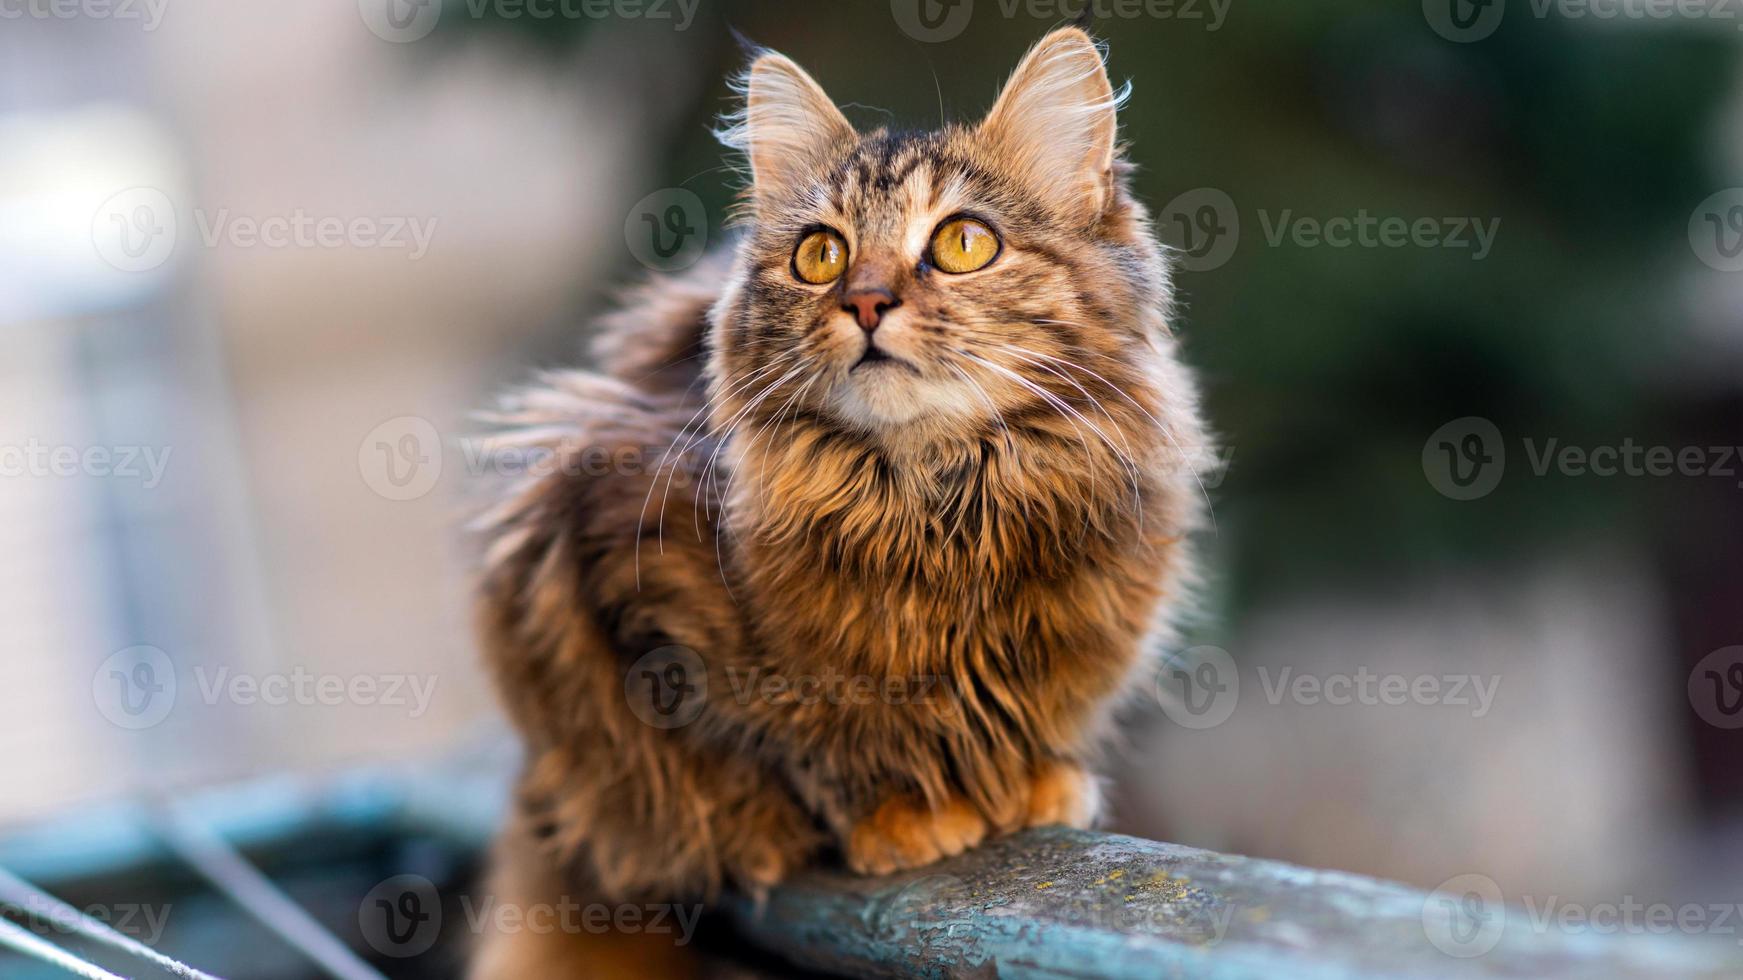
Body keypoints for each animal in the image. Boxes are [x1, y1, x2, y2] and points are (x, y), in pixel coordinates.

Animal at [474, 26, 1213, 969]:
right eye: (820, 255)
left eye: (963, 243)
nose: (865, 302)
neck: (938, 505)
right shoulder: (609, 575)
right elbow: (793, 747)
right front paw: (898, 814)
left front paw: (1033, 782)